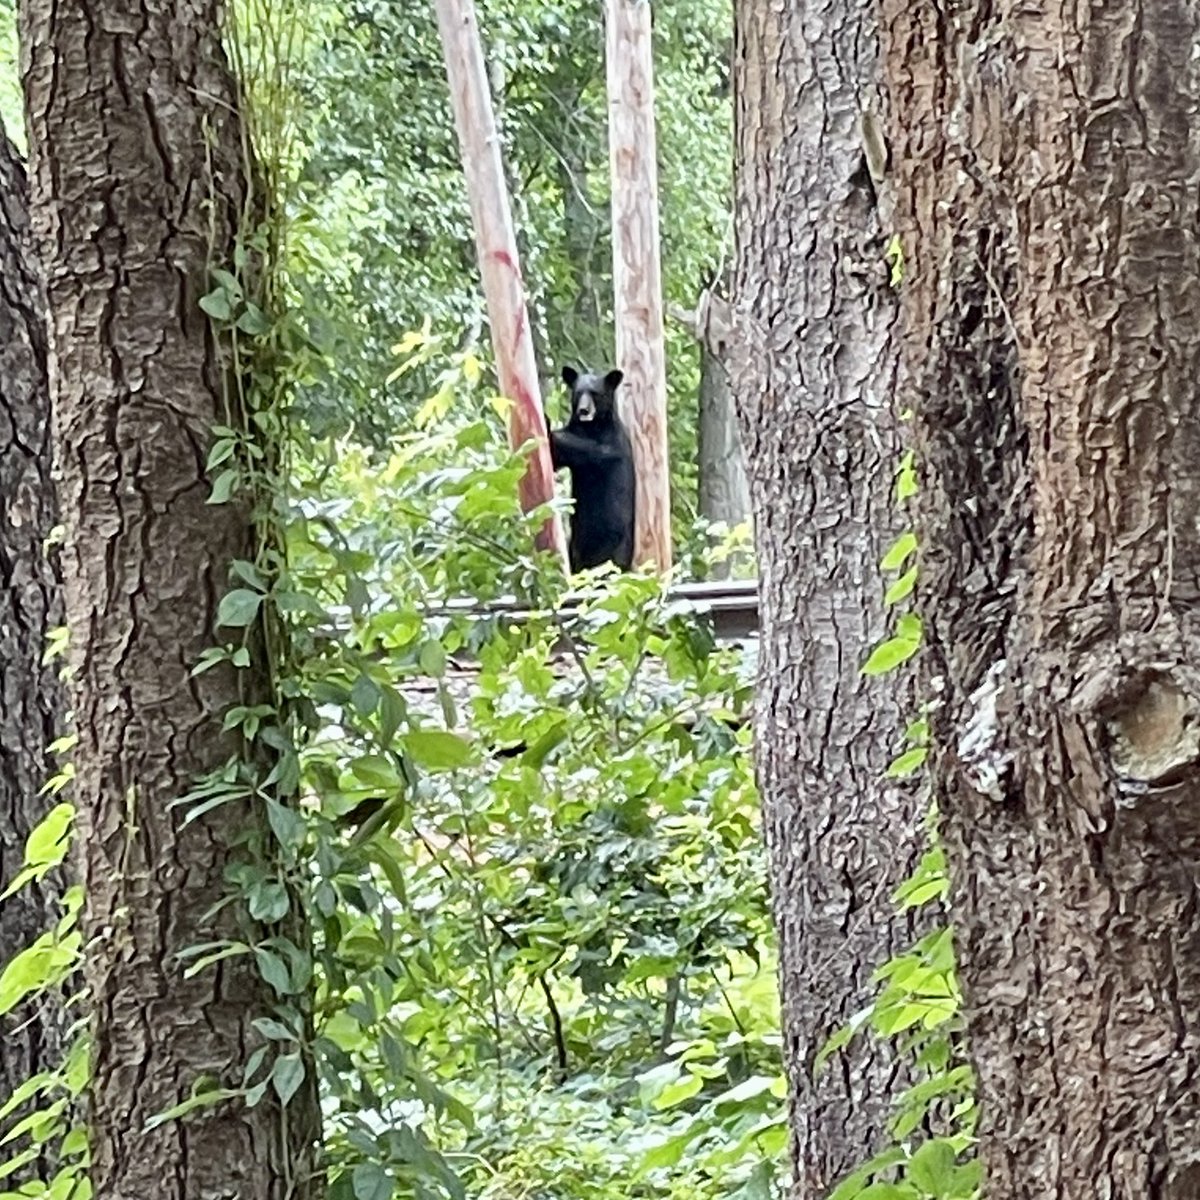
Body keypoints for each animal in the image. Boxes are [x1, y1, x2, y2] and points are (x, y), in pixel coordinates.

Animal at [546, 365, 636, 573]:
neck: (591, 427)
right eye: (578, 392)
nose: (584, 410)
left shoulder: (609, 445)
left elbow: (582, 450)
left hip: (615, 547)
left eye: (595, 393)